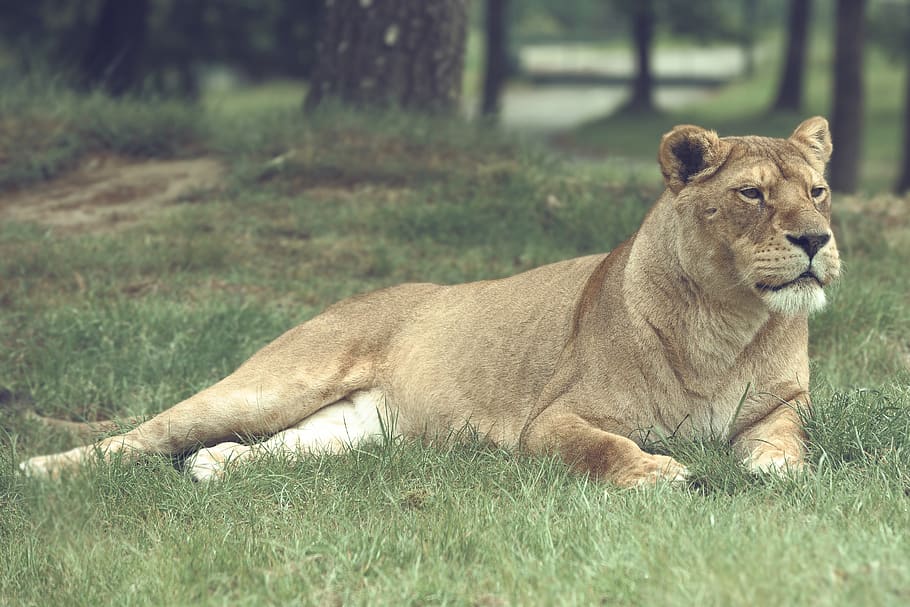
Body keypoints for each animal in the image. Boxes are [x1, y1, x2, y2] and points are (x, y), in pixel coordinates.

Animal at [19, 117, 840, 486]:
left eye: (818, 190)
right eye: (752, 194)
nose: (815, 239)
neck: (729, 319)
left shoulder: (778, 407)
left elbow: (784, 445)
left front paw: (781, 477)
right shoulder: (552, 420)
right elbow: (601, 446)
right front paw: (660, 474)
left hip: (349, 430)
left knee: (260, 448)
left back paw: (214, 467)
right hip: (270, 383)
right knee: (144, 435)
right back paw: (40, 469)